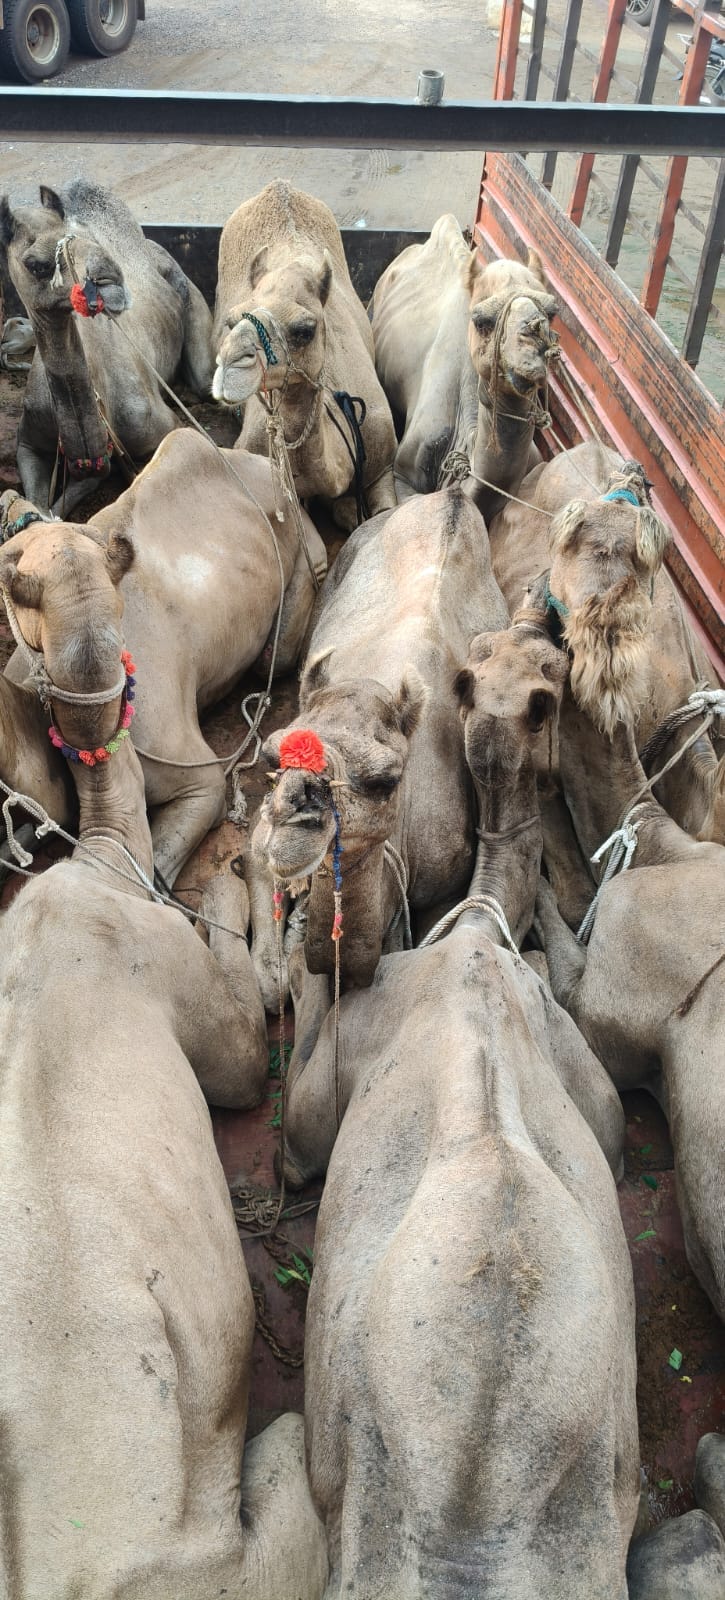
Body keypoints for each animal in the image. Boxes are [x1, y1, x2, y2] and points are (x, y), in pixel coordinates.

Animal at [0, 180, 214, 516]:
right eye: (35, 265)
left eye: (81, 236)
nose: (110, 280)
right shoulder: (28, 441)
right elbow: (38, 504)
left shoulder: (162, 427)